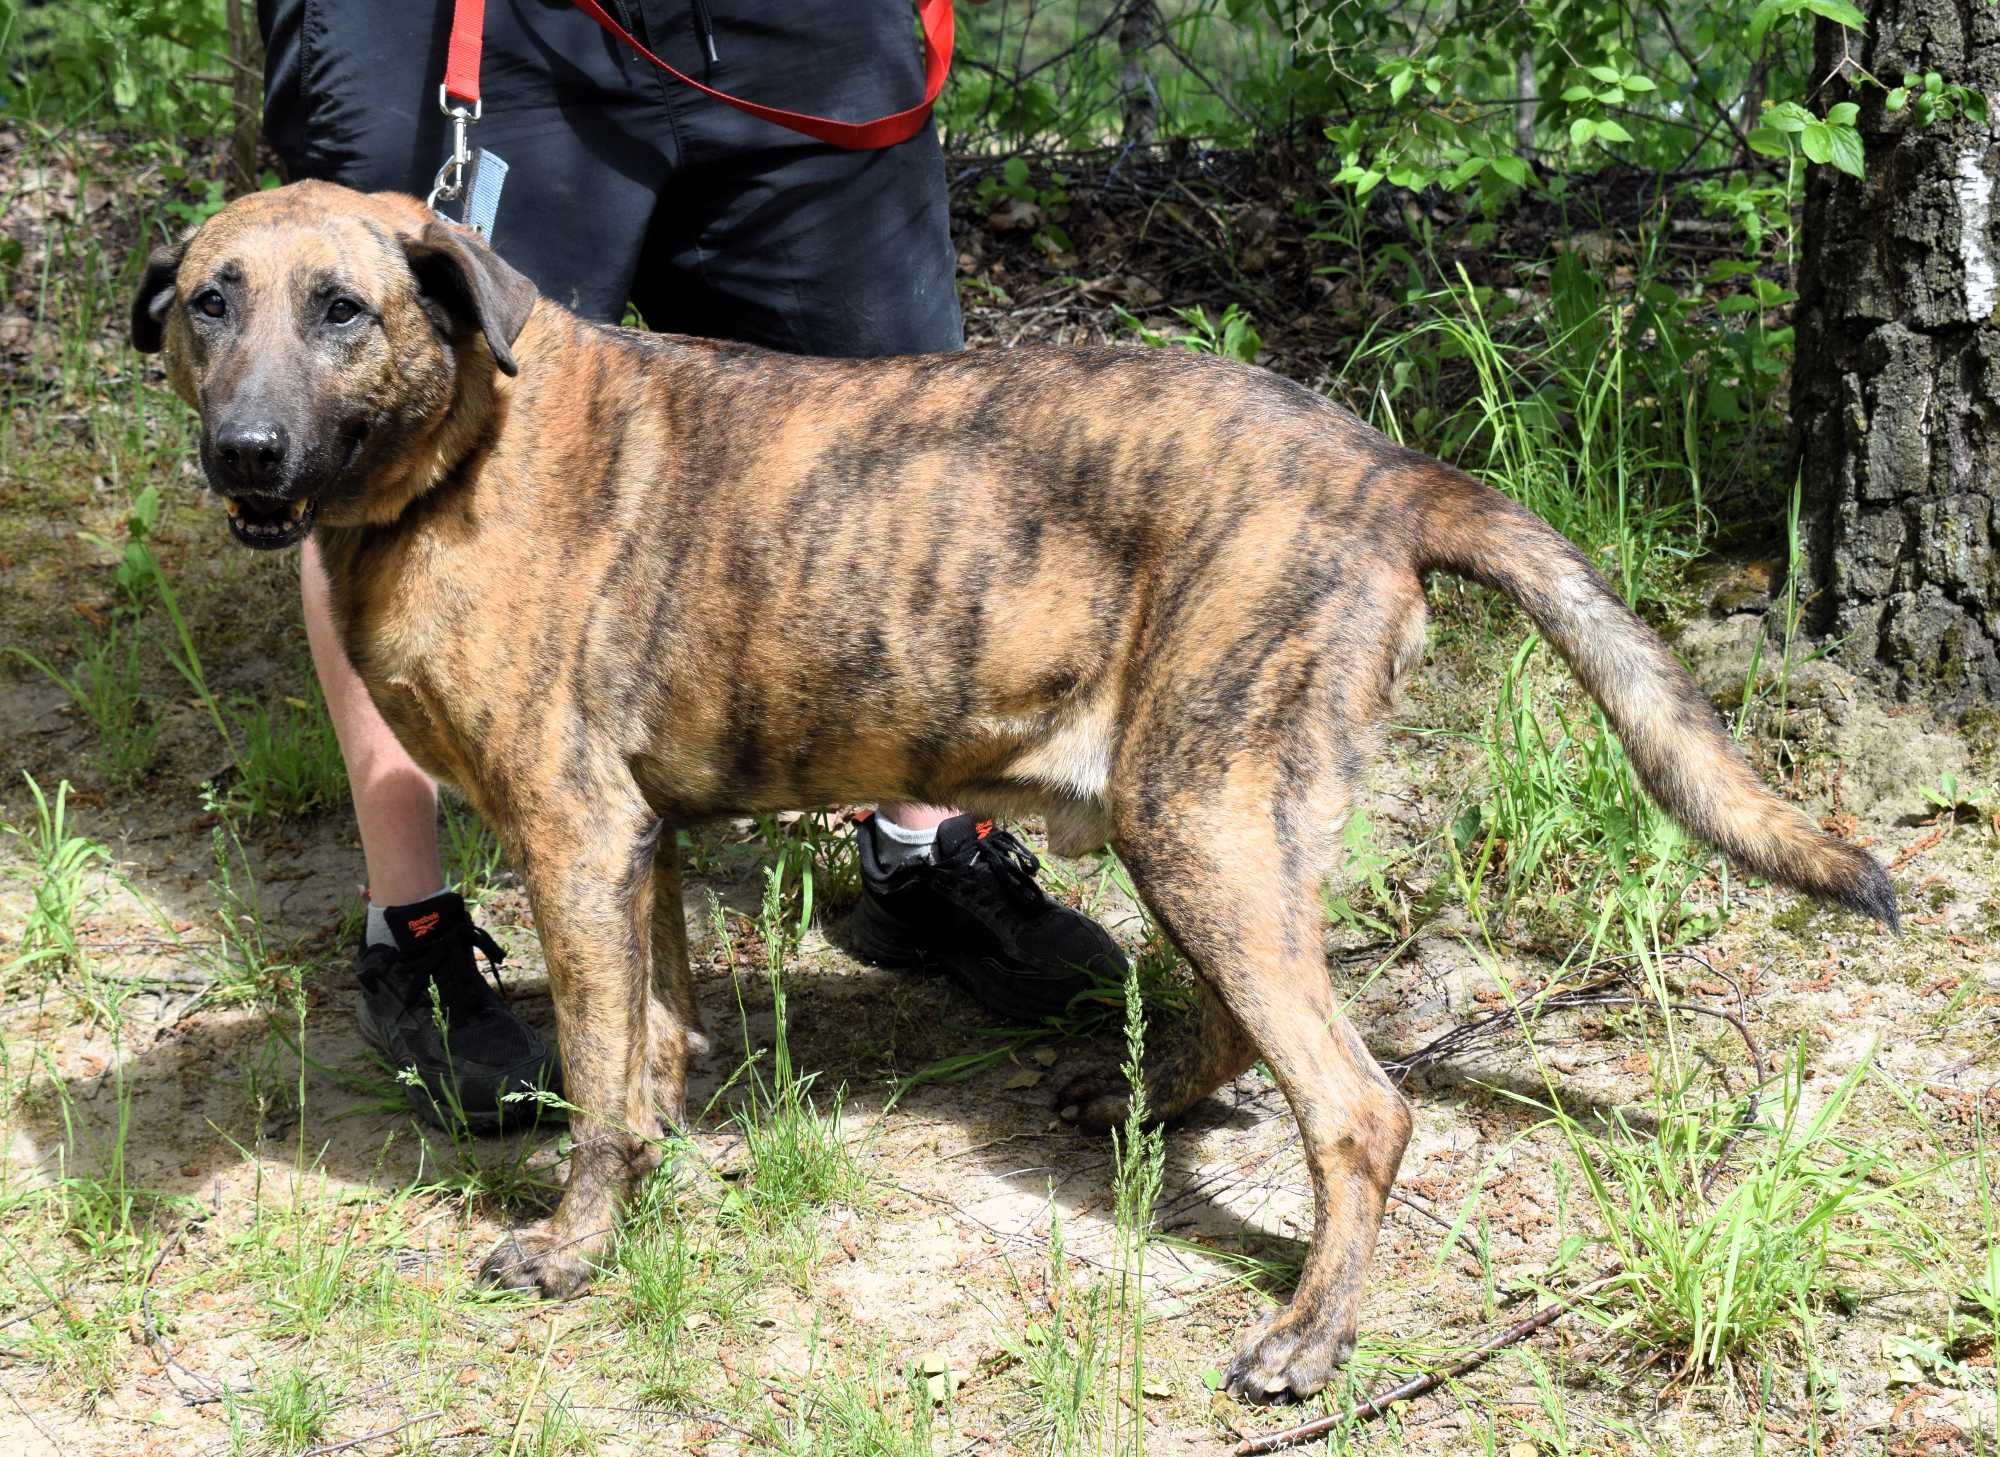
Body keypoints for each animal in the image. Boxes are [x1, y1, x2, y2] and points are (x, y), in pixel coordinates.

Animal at [129, 182, 1888, 1400]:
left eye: (343, 309)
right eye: (211, 304)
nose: (247, 454)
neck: (455, 458)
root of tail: (1388, 470)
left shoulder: (575, 835)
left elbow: (603, 1087)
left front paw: (574, 1246)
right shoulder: (640, 845)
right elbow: (655, 1046)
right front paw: (656, 1178)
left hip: (1199, 815)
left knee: (1359, 1105)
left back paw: (1309, 1339)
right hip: (1211, 824)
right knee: (1245, 1029)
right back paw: (1148, 1105)